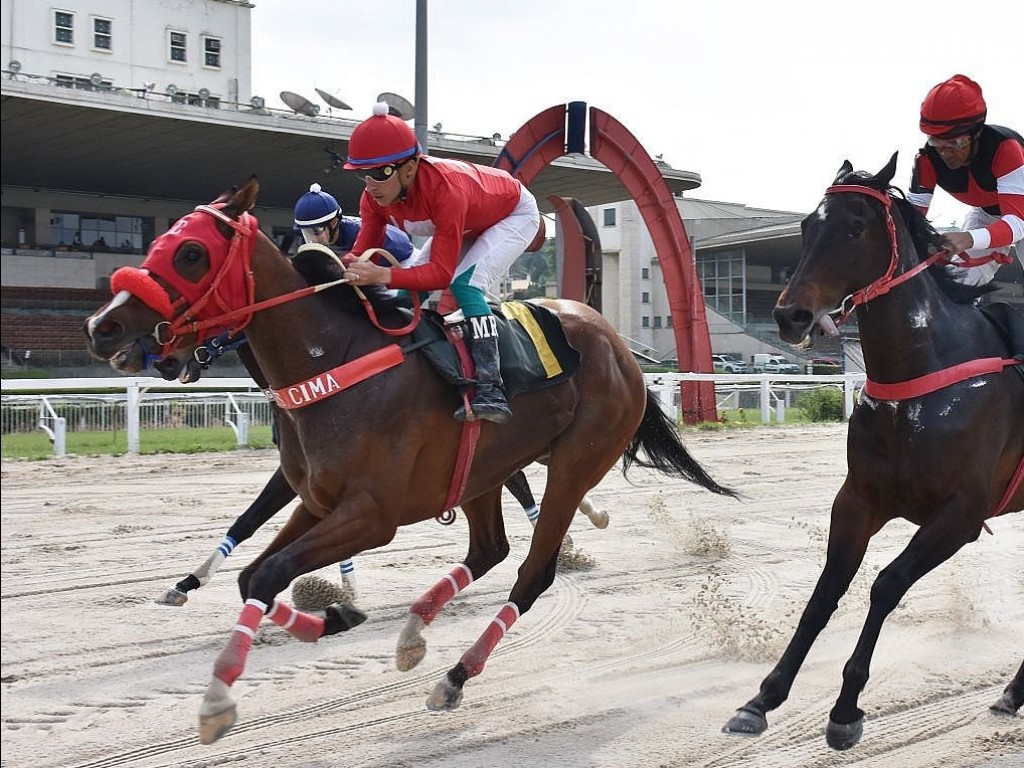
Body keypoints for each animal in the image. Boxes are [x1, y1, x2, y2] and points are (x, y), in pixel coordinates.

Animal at [81, 179, 737, 745]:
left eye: (191, 252)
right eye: (158, 242)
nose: (101, 327)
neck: (334, 359)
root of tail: (618, 345)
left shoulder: (373, 515)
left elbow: (268, 572)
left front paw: (220, 699)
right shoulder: (318, 500)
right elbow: (255, 568)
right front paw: (333, 616)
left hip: (576, 462)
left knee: (532, 571)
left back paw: (455, 675)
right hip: (482, 469)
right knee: (489, 549)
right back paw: (416, 631)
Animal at [720, 151, 1024, 753]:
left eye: (855, 227)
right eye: (806, 226)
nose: (790, 316)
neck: (922, 377)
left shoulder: (960, 515)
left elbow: (886, 585)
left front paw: (845, 709)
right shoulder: (859, 500)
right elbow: (826, 591)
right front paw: (761, 699)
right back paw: (1011, 693)